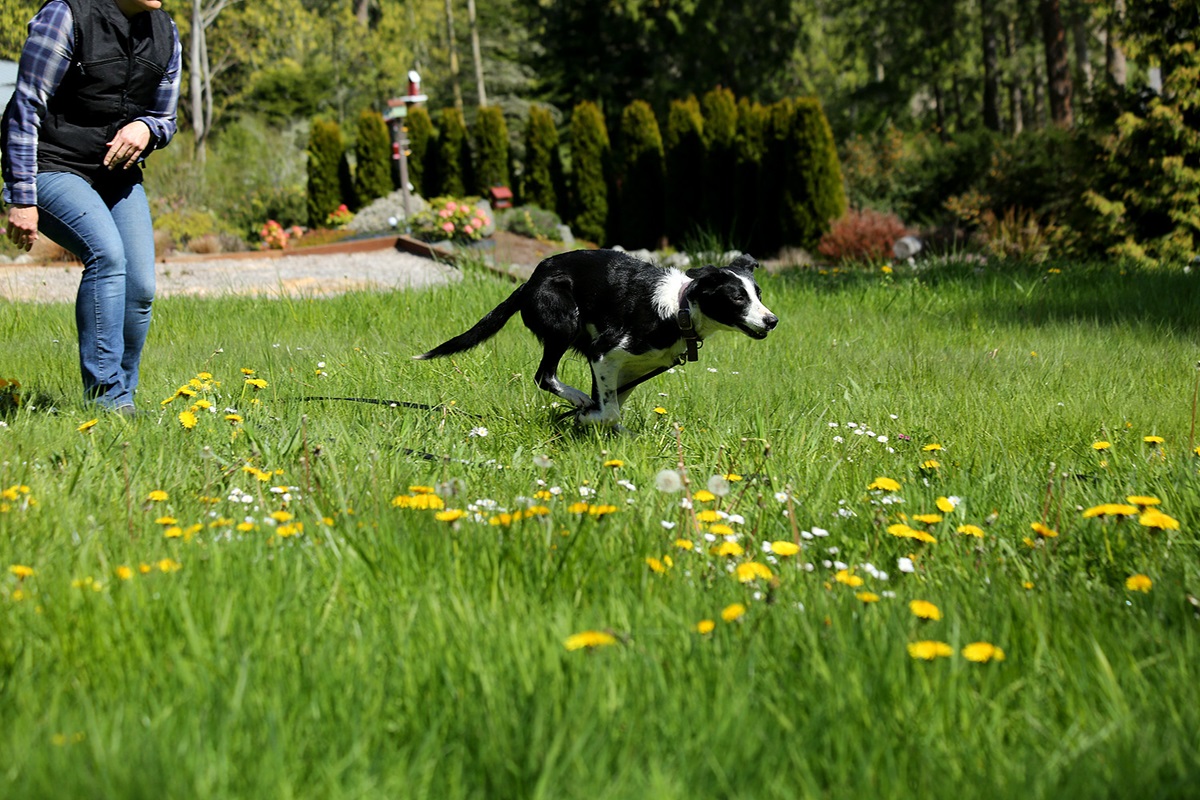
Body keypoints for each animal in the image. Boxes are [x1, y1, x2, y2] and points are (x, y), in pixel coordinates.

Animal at [417, 250, 782, 429]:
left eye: (758, 294)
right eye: (737, 298)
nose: (772, 320)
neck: (679, 309)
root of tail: (529, 281)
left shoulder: (628, 370)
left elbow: (612, 407)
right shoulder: (604, 353)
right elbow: (609, 412)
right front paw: (586, 418)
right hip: (564, 323)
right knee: (544, 375)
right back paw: (577, 400)